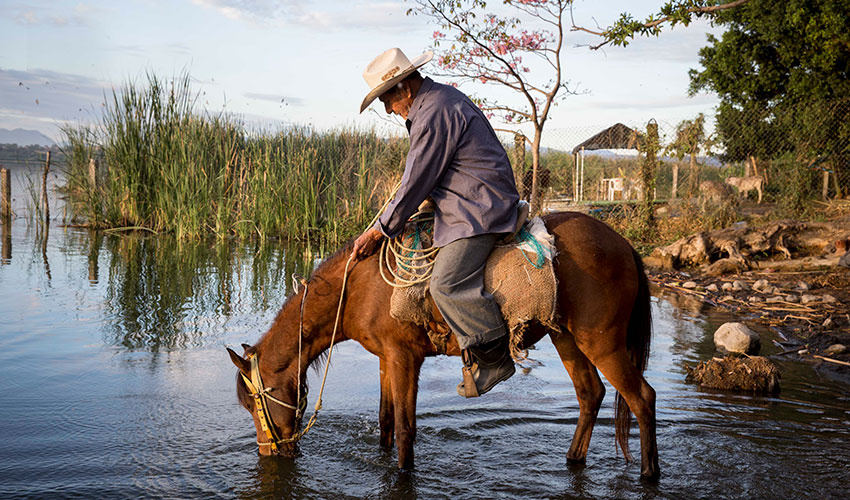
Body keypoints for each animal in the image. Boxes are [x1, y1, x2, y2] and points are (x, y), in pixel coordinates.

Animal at [224, 211, 656, 480]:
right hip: (566, 337)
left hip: (602, 343)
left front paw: (403, 474)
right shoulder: (387, 360)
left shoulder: (405, 359)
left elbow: (405, 429)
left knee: (641, 398)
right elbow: (386, 421)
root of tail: (624, 245)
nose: (268, 452)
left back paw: (649, 473)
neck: (358, 289)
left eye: (253, 404)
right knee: (590, 394)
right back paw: (572, 460)